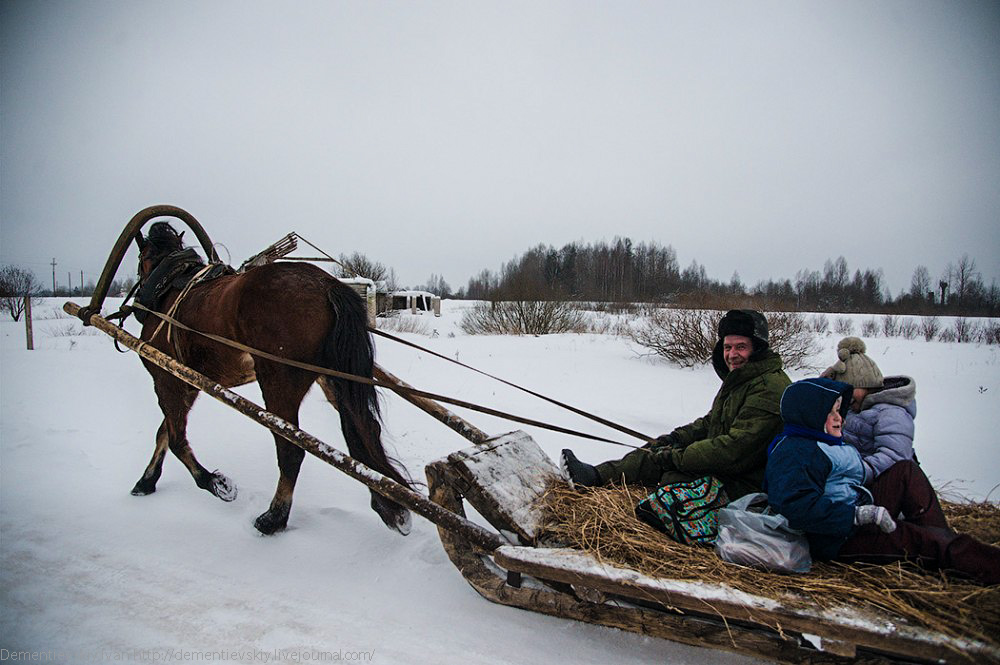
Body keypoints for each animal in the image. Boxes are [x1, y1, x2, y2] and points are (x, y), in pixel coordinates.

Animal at [128, 223, 410, 536]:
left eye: (142, 257)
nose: (139, 293)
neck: (167, 290)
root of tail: (328, 285)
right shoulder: (185, 382)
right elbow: (165, 431)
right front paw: (146, 481)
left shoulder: (166, 375)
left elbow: (176, 438)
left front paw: (216, 483)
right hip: (333, 378)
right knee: (366, 429)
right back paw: (391, 507)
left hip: (279, 383)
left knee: (291, 449)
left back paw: (274, 517)